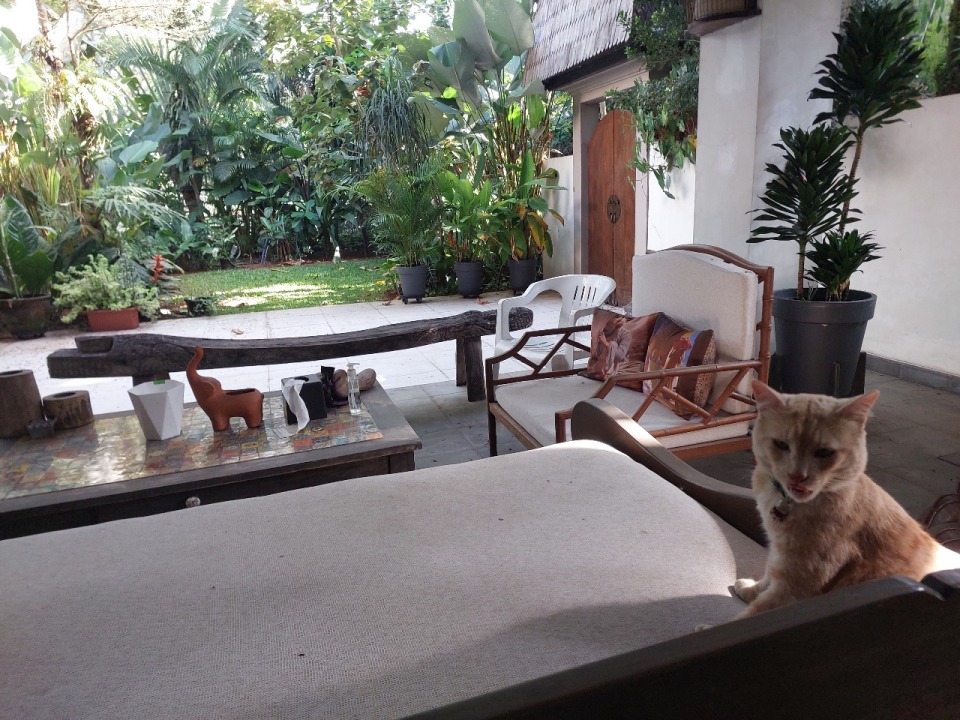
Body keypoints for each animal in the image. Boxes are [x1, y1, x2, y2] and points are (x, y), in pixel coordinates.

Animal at [734, 379, 960, 618]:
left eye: (824, 452)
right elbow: (769, 571)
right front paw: (752, 589)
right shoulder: (778, 551)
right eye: (781, 445)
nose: (797, 476)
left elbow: (757, 611)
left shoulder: (797, 585)